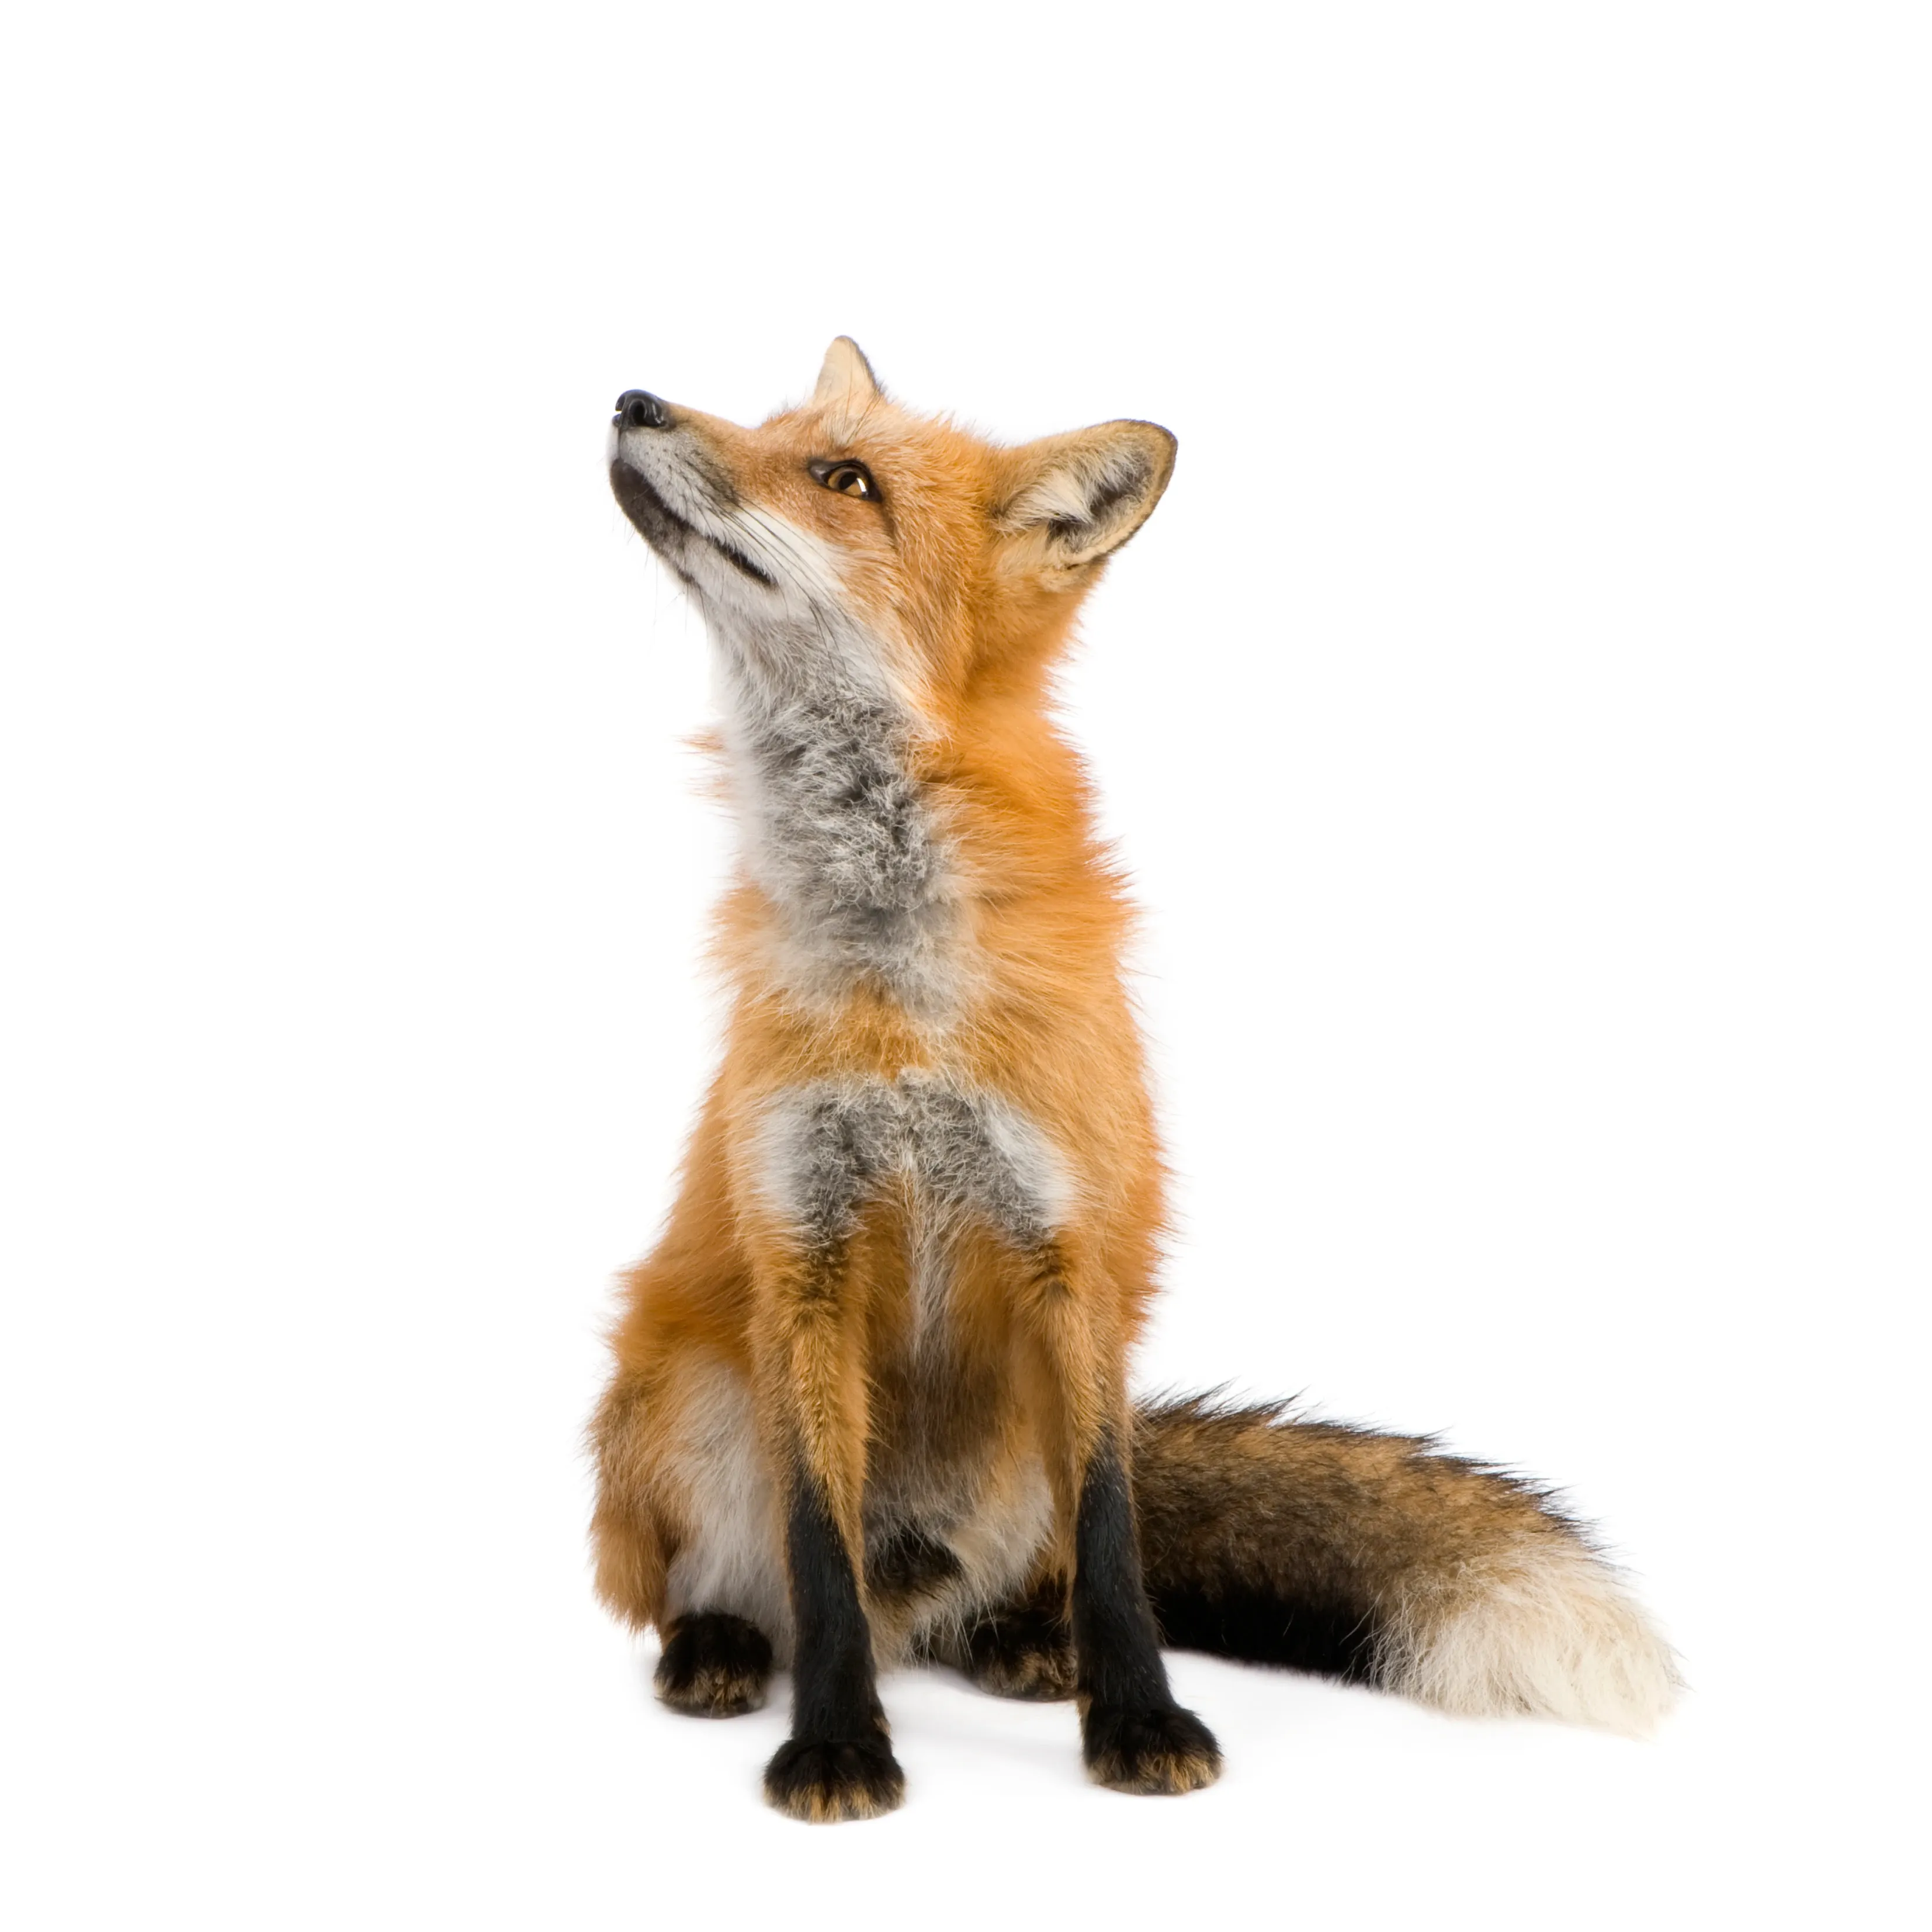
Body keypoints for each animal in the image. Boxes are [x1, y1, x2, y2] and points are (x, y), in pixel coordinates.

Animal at [590, 339, 1680, 1822]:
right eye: (771, 427)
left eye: (842, 475)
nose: (633, 400)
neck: (904, 985)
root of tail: (923, 1583)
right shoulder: (800, 1253)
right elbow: (817, 1553)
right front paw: (837, 1743)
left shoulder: (1074, 1253)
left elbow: (1114, 1543)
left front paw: (1139, 1719)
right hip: (688, 1397)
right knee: (750, 1586)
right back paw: (719, 1646)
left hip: (1020, 1446)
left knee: (1023, 1572)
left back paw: (1021, 1641)